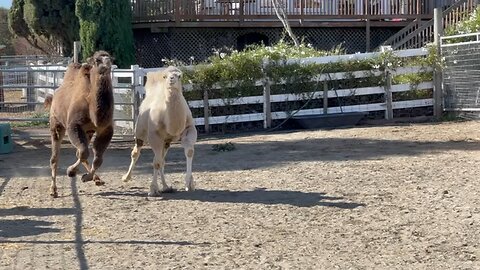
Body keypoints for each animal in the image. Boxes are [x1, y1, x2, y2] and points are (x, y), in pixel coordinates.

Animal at [46, 51, 115, 198]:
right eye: (97, 60)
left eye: (111, 59)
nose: (106, 66)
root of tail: (54, 96)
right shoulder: (74, 125)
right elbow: (83, 152)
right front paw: (72, 172)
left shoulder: (105, 129)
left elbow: (97, 158)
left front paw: (85, 176)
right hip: (56, 123)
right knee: (55, 157)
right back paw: (53, 190)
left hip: (88, 131)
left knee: (81, 151)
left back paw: (96, 179)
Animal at [124, 66, 199, 195]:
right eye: (165, 76)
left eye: (180, 76)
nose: (172, 79)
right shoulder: (154, 135)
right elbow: (156, 162)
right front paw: (153, 189)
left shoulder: (189, 128)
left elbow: (189, 152)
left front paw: (189, 184)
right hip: (140, 132)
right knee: (136, 153)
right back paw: (126, 177)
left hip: (166, 141)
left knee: (162, 159)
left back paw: (166, 187)